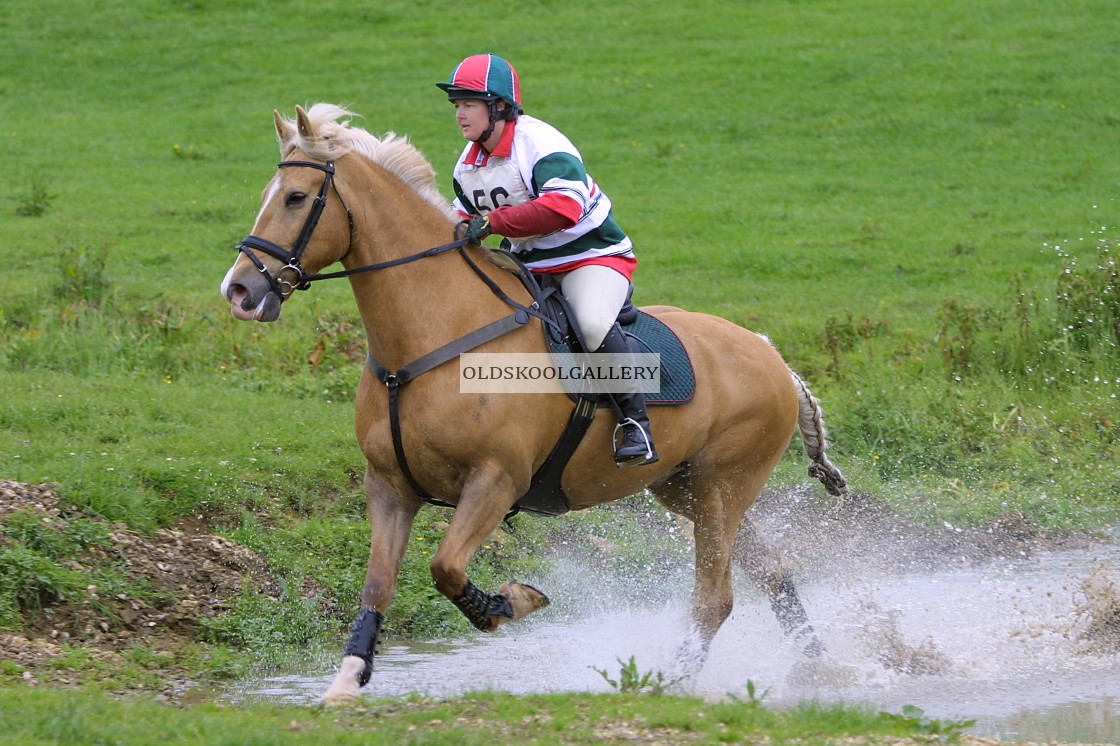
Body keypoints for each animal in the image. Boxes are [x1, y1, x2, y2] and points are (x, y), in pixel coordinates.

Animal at [218, 104, 846, 703]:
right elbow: (379, 585)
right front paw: (348, 679)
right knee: (771, 569)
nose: (240, 290)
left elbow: (445, 568)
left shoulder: (495, 482)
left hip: (723, 486)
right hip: (687, 488)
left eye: (297, 197)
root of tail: (771, 356)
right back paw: (815, 667)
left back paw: (672, 680)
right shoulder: (389, 487)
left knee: (715, 597)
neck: (428, 337)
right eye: (268, 194)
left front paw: (509, 603)